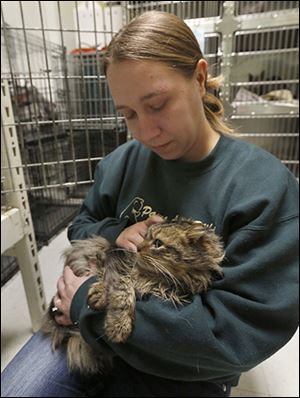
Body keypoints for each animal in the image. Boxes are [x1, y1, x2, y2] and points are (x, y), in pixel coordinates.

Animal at [41, 216, 224, 374]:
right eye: (144, 237)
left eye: (158, 243)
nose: (138, 248)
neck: (157, 277)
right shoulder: (115, 258)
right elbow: (121, 286)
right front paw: (116, 320)